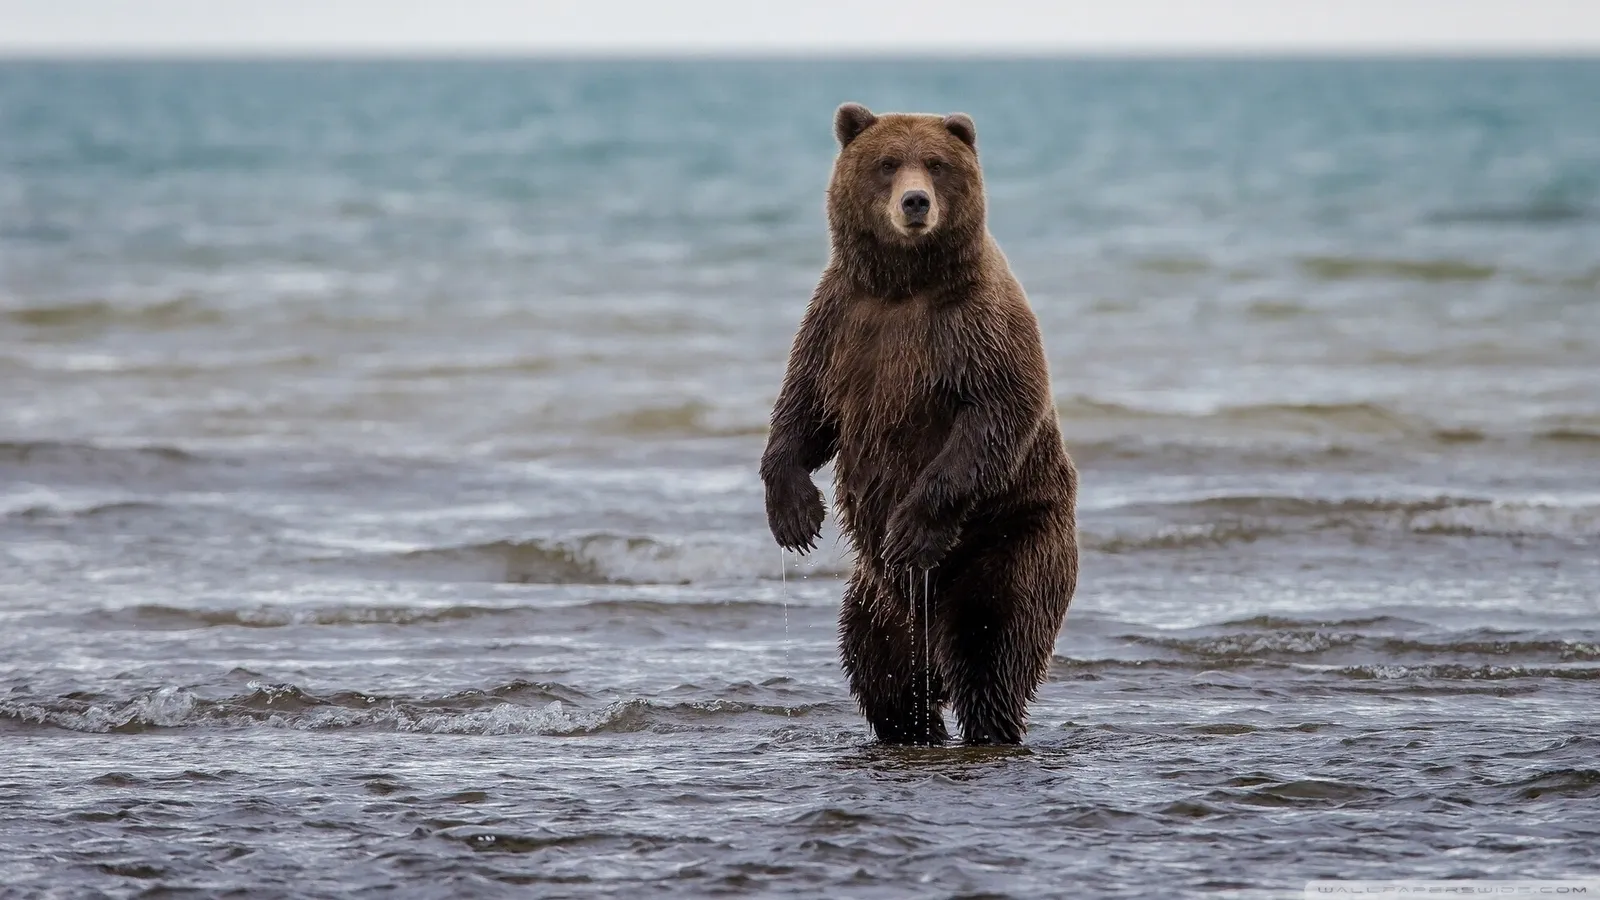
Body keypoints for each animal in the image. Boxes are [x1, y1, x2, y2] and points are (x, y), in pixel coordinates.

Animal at [759, 103, 1079, 746]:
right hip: (875, 601)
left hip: (1012, 542)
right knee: (881, 670)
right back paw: (913, 724)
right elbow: (804, 410)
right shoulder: (840, 321)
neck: (903, 286)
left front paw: (910, 529)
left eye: (935, 163)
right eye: (887, 163)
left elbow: (995, 415)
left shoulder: (976, 328)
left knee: (993, 650)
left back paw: (989, 722)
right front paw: (795, 514)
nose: (915, 202)